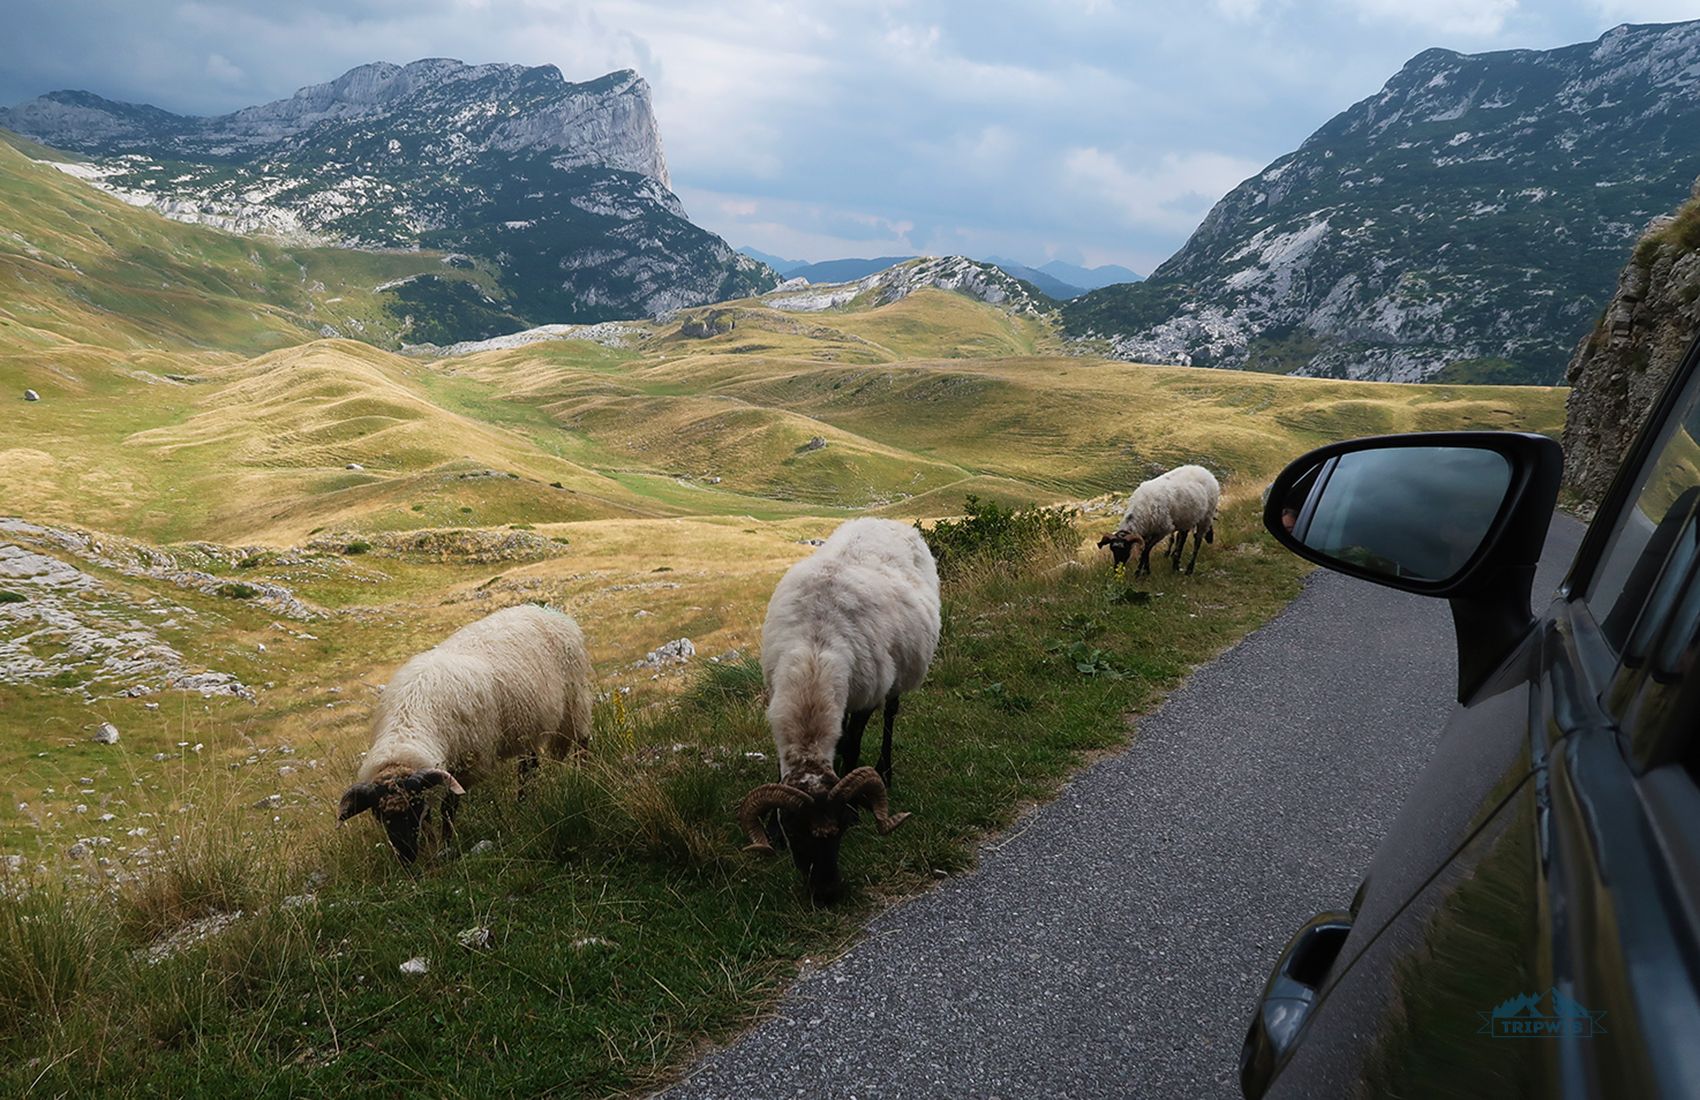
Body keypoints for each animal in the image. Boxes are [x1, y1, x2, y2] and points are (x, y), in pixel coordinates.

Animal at [334, 605, 595, 863]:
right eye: (379, 816)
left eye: (415, 808)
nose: (407, 857)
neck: (408, 724)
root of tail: (546, 610)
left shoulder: (465, 764)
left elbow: (449, 808)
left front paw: (447, 846)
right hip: (528, 724)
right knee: (528, 766)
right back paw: (523, 802)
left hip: (574, 701)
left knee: (581, 741)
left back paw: (583, 776)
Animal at [737, 516, 945, 904]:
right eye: (795, 832)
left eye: (842, 830)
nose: (827, 892)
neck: (814, 653)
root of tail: (885, 520)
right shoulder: (779, 693)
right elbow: (783, 767)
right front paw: (771, 829)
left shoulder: (867, 695)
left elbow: (852, 745)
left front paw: (860, 803)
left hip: (896, 676)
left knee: (889, 716)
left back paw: (885, 769)